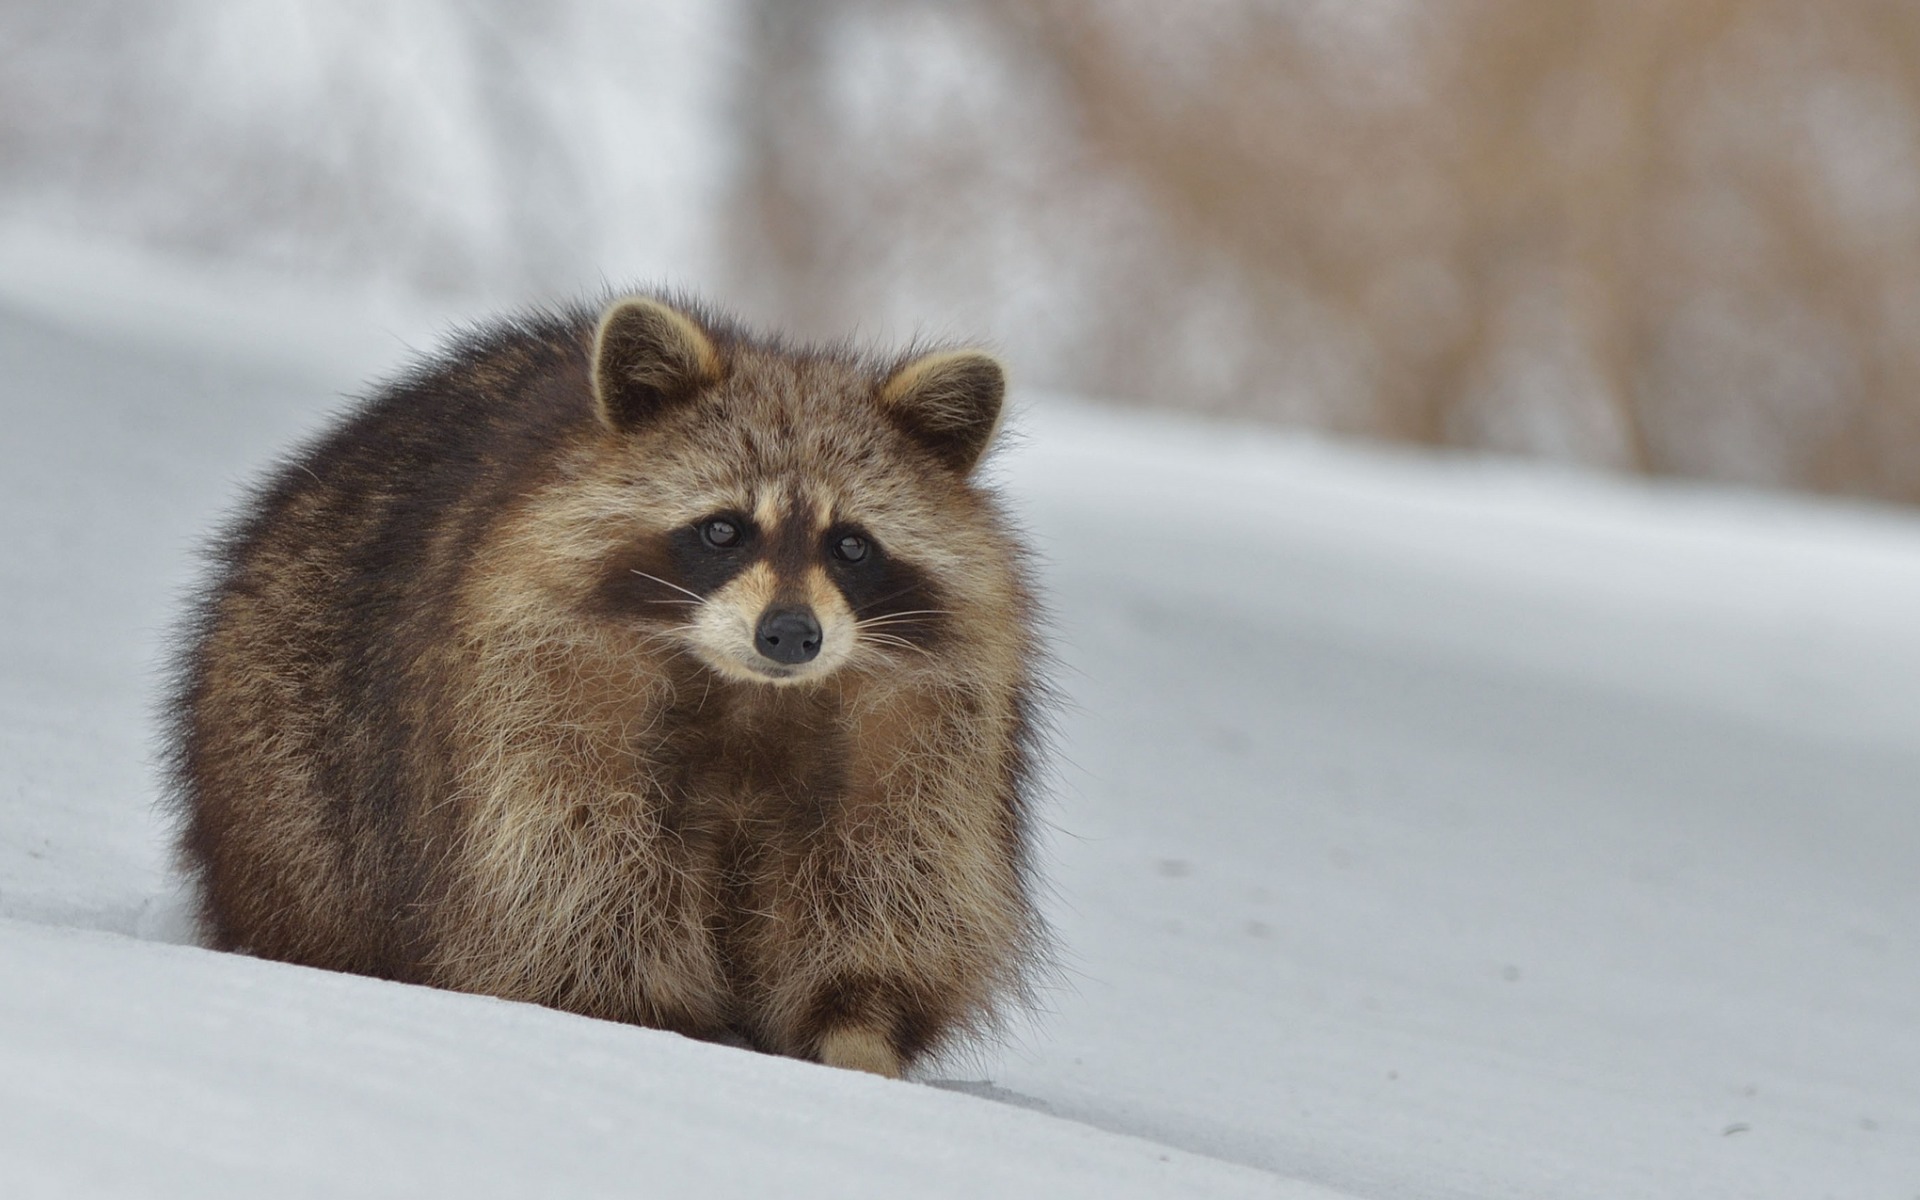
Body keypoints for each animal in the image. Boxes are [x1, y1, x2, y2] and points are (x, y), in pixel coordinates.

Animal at [168, 291, 1052, 1075]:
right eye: (724, 530)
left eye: (852, 545)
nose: (791, 634)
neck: (752, 695)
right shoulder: (532, 690)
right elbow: (571, 884)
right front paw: (646, 1021)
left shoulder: (926, 734)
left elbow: (889, 889)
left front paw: (858, 1032)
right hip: (281, 746)